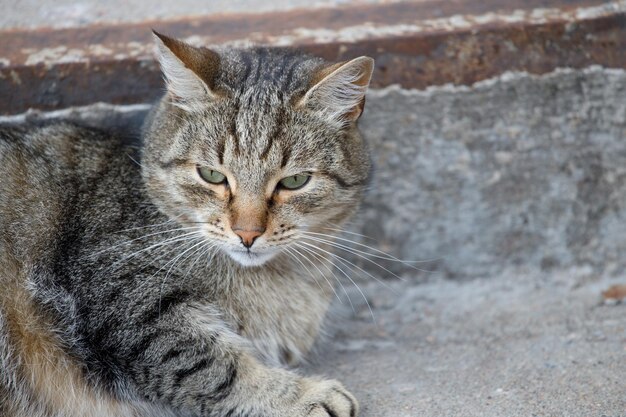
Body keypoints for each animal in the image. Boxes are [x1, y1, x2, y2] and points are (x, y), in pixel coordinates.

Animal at [0, 32, 370, 416]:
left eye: (294, 181)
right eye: (211, 175)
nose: (247, 233)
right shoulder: (128, 302)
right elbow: (215, 367)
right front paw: (301, 396)